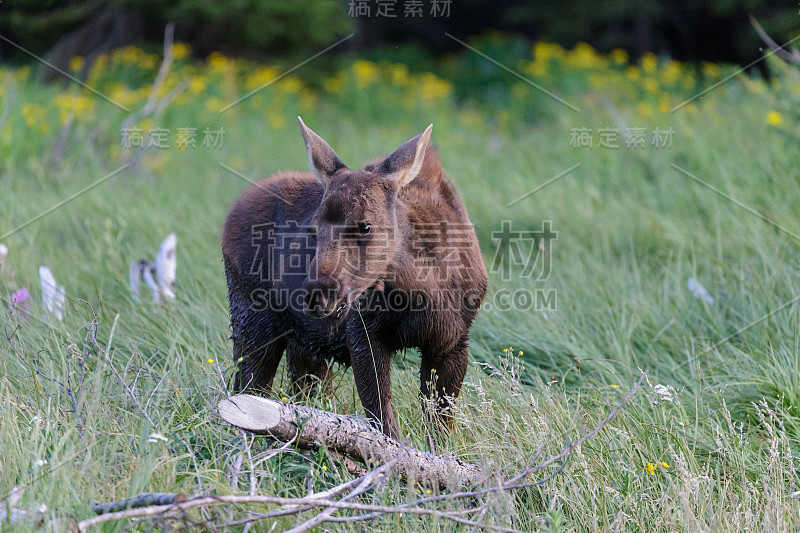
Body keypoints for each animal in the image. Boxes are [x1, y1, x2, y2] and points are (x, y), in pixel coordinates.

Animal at [222, 117, 490, 436]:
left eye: (365, 226)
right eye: (313, 229)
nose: (318, 294)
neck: (424, 290)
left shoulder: (453, 343)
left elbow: (439, 428)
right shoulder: (362, 334)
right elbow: (383, 419)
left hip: (304, 343)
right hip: (252, 321)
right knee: (248, 390)